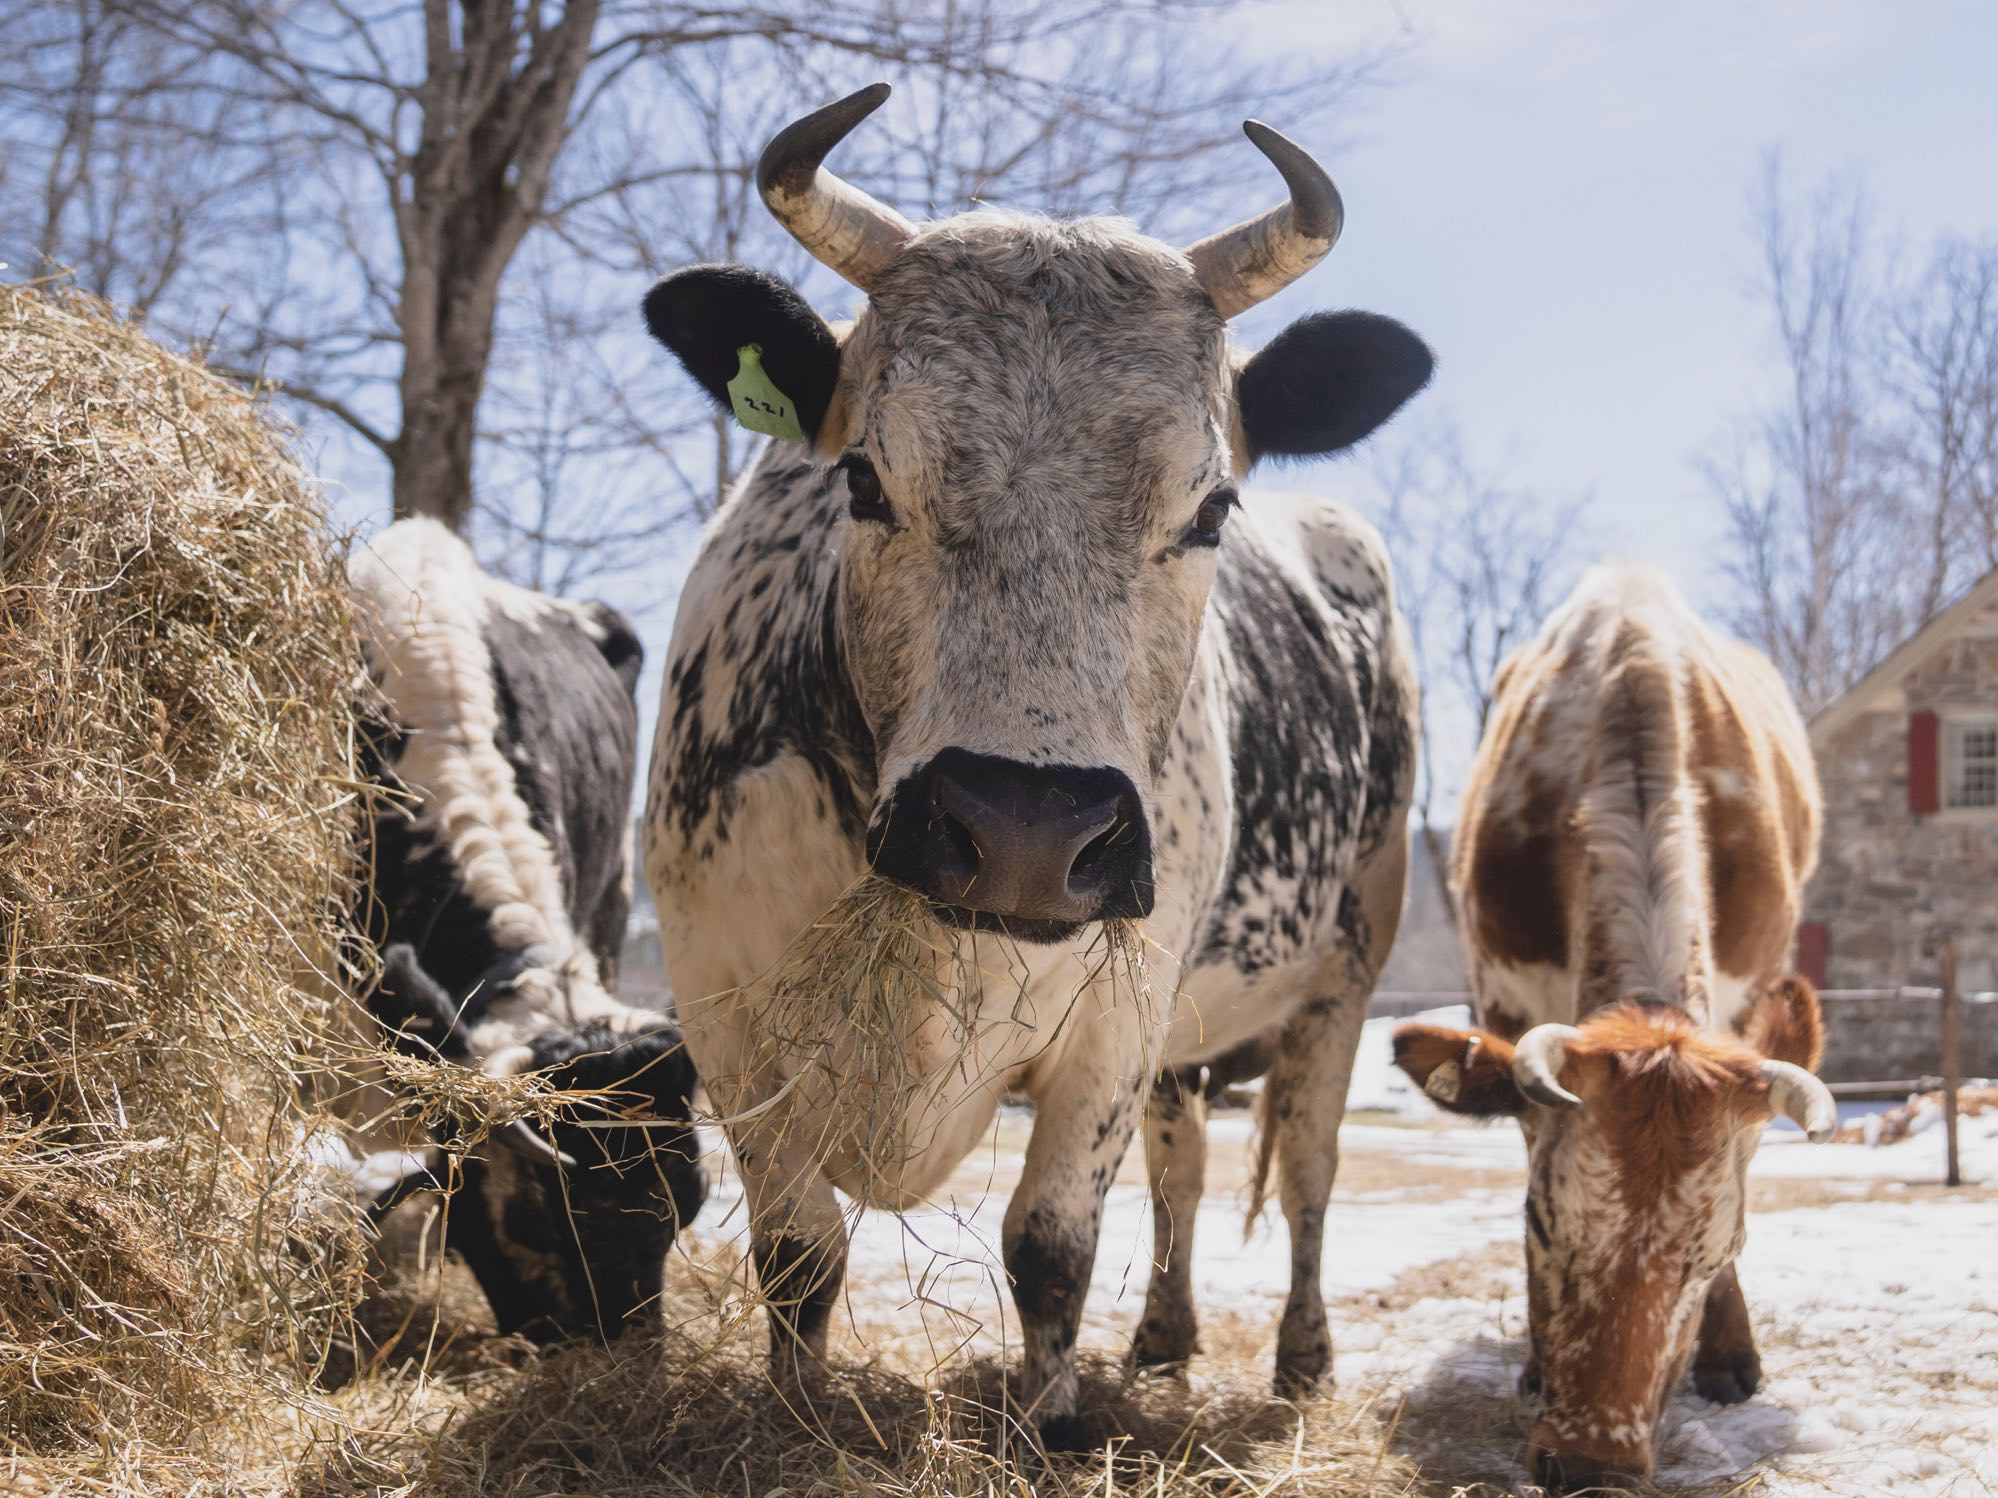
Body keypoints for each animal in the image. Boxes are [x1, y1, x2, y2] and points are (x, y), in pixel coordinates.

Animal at [639, 82, 1431, 1444]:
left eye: (1210, 507)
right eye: (863, 477)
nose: (1023, 830)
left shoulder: (1120, 1012)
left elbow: (1051, 1243)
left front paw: (1050, 1419)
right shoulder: (718, 999)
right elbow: (799, 1249)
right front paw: (796, 1409)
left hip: (1343, 965)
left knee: (1309, 1161)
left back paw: (1300, 1359)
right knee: (1186, 1160)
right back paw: (1163, 1342)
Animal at [1390, 566, 1838, 1491]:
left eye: (1717, 1248)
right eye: (1538, 1221)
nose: (1593, 1464)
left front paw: (1727, 1352)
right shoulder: (1504, 996)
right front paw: (1535, 1362)